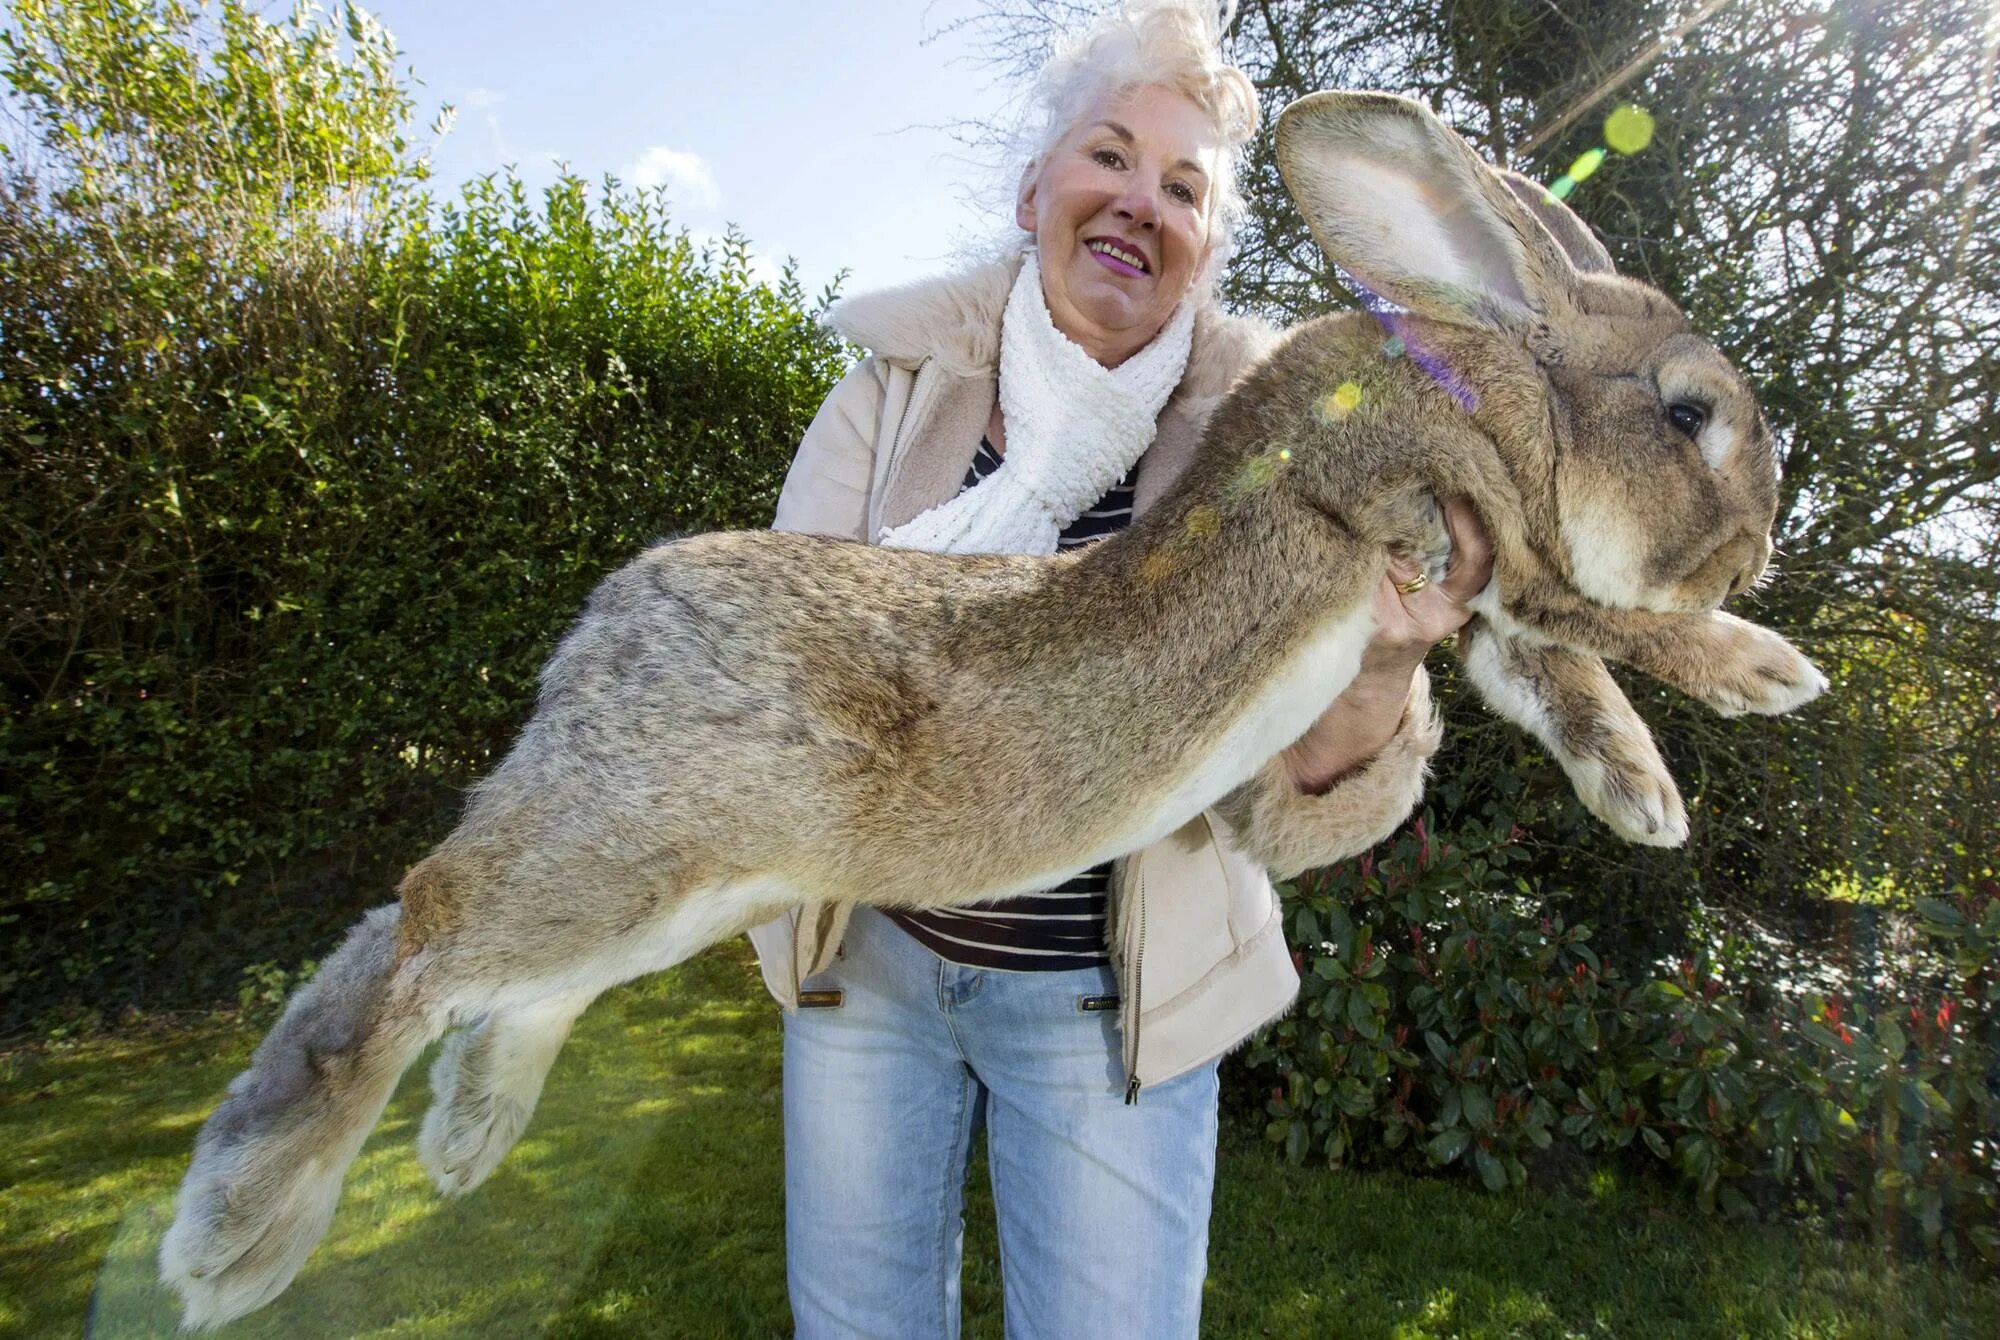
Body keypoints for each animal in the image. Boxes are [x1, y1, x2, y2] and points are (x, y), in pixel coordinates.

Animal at [160, 94, 1832, 1336]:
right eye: (1690, 413)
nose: (1757, 546)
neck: (1493, 376)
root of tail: (598, 639)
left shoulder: (1472, 602)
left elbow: (1554, 674)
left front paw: (1644, 797)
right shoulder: (1442, 520)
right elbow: (1597, 618)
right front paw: (1764, 670)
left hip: (677, 888)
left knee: (457, 961)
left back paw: (447, 1142)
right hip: (630, 848)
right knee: (428, 923)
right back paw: (242, 1233)